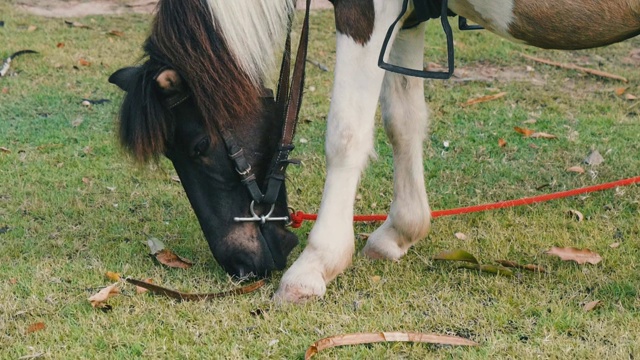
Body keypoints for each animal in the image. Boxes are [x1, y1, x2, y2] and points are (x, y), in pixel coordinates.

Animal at [110, 0, 640, 302]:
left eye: (199, 147)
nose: (242, 267)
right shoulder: (410, 17)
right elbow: (402, 121)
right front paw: (401, 232)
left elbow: (347, 132)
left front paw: (316, 266)